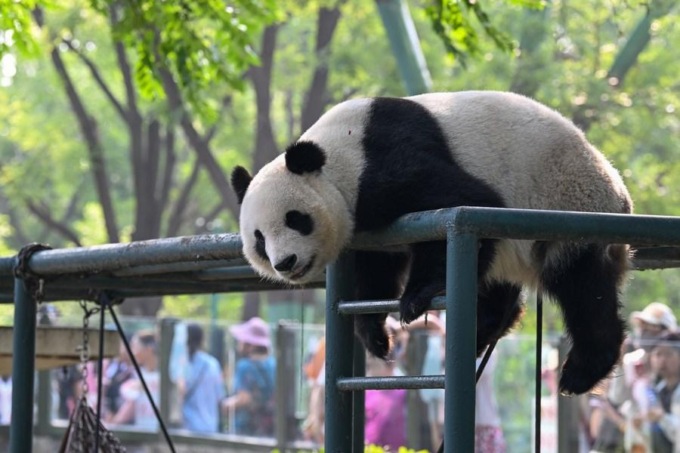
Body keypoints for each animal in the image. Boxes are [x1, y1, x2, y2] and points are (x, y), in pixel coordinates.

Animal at [230, 91, 632, 395]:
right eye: (259, 240)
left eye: (295, 218)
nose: (285, 263)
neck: (338, 153)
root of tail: (620, 193)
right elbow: (374, 271)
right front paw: (375, 338)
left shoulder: (383, 164)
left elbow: (466, 200)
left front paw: (415, 298)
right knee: (501, 282)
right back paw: (481, 330)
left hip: (571, 207)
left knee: (581, 286)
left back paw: (580, 372)